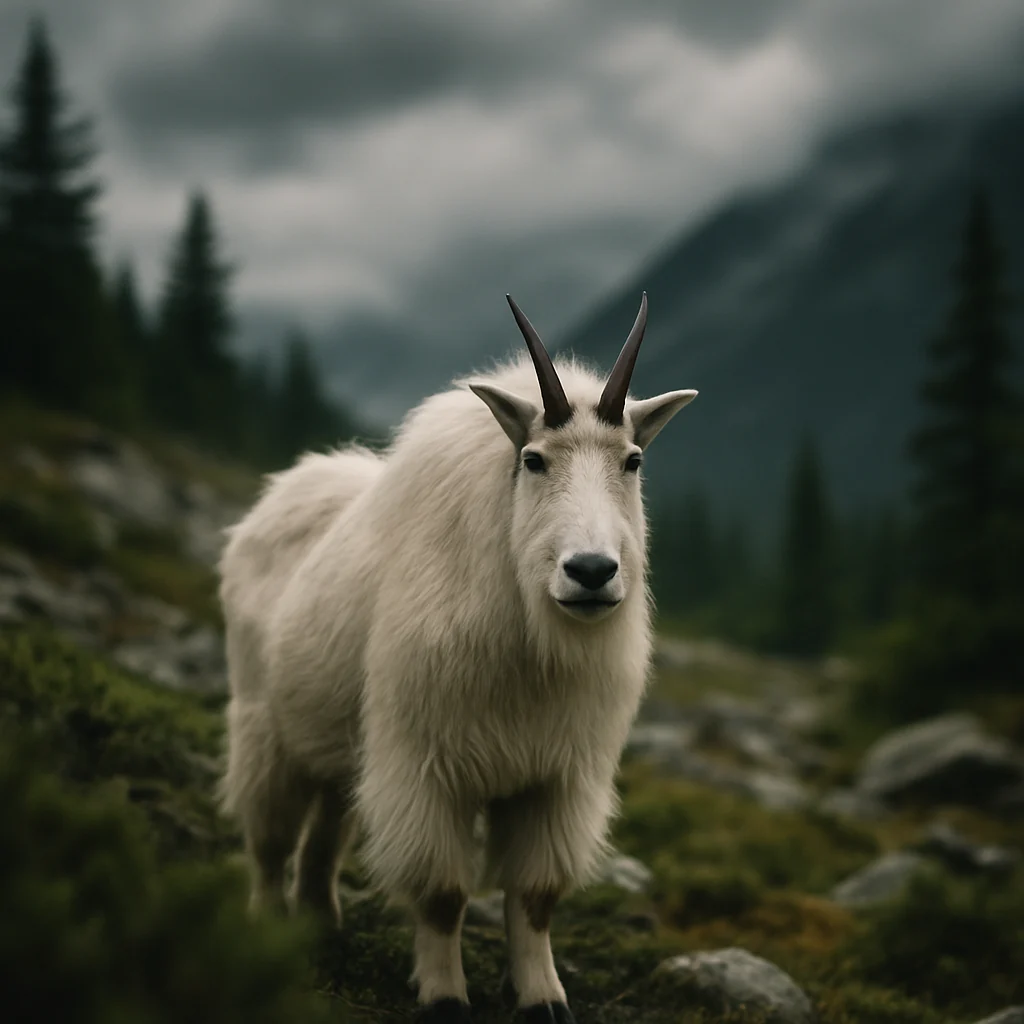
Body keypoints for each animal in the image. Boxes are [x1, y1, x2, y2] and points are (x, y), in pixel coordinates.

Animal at [217, 293, 697, 1023]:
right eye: (533, 459)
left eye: (633, 460)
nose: (590, 572)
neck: (530, 644)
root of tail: (273, 499)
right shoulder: (425, 766)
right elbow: (442, 895)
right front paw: (444, 995)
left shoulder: (555, 779)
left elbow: (534, 897)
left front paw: (542, 997)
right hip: (264, 727)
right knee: (269, 839)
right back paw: (271, 929)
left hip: (339, 744)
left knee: (325, 832)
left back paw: (321, 923)